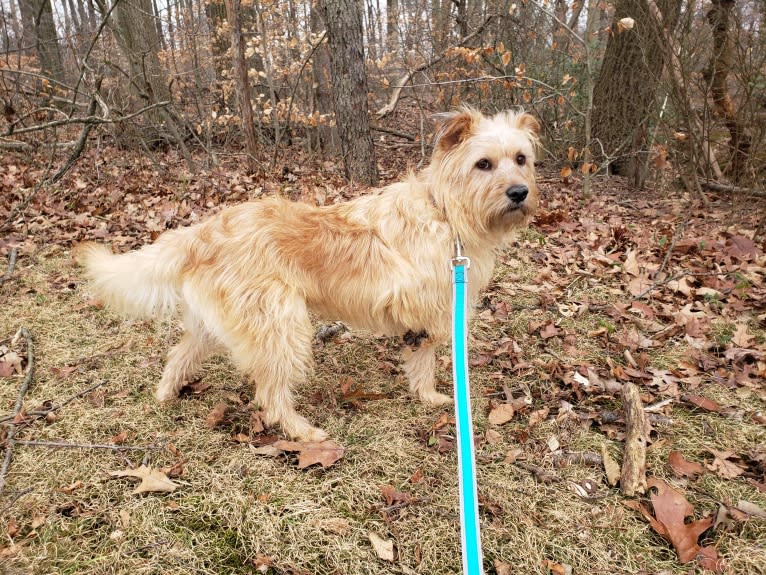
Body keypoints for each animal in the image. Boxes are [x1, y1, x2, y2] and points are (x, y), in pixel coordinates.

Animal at [76, 107, 540, 440]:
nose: (520, 192)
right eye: (483, 164)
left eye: (521, 159)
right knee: (270, 393)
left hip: (217, 327)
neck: (445, 211)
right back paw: (302, 431)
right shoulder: (430, 310)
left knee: (179, 356)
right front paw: (430, 395)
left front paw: (425, 397)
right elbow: (424, 360)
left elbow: (418, 359)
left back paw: (164, 395)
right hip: (279, 325)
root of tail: (202, 233)